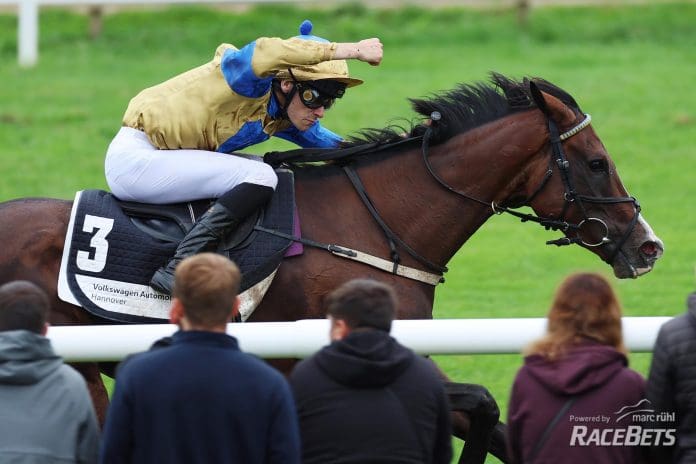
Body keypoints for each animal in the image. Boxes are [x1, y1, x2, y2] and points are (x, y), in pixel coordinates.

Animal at [0, 74, 664, 462]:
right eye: (597, 162)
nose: (648, 246)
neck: (378, 224)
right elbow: (481, 403)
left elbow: (491, 418)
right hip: (80, 370)